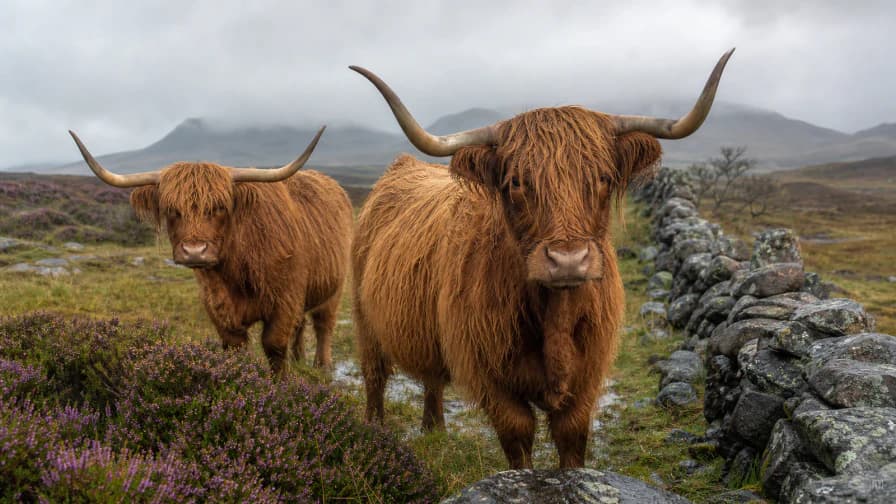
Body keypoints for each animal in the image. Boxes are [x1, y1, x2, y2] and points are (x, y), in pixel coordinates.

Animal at [69, 128, 352, 373]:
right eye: (172, 210)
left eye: (219, 207)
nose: (195, 251)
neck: (237, 270)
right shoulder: (218, 305)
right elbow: (236, 347)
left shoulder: (285, 298)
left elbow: (274, 345)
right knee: (302, 325)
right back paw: (300, 359)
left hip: (334, 287)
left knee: (323, 324)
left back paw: (322, 366)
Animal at [350, 49, 734, 468]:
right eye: (517, 182)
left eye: (602, 178)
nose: (568, 260)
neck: (553, 317)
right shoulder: (491, 378)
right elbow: (518, 436)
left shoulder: (587, 378)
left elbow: (571, 438)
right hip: (364, 320)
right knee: (375, 376)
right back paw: (373, 433)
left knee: (432, 379)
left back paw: (434, 430)